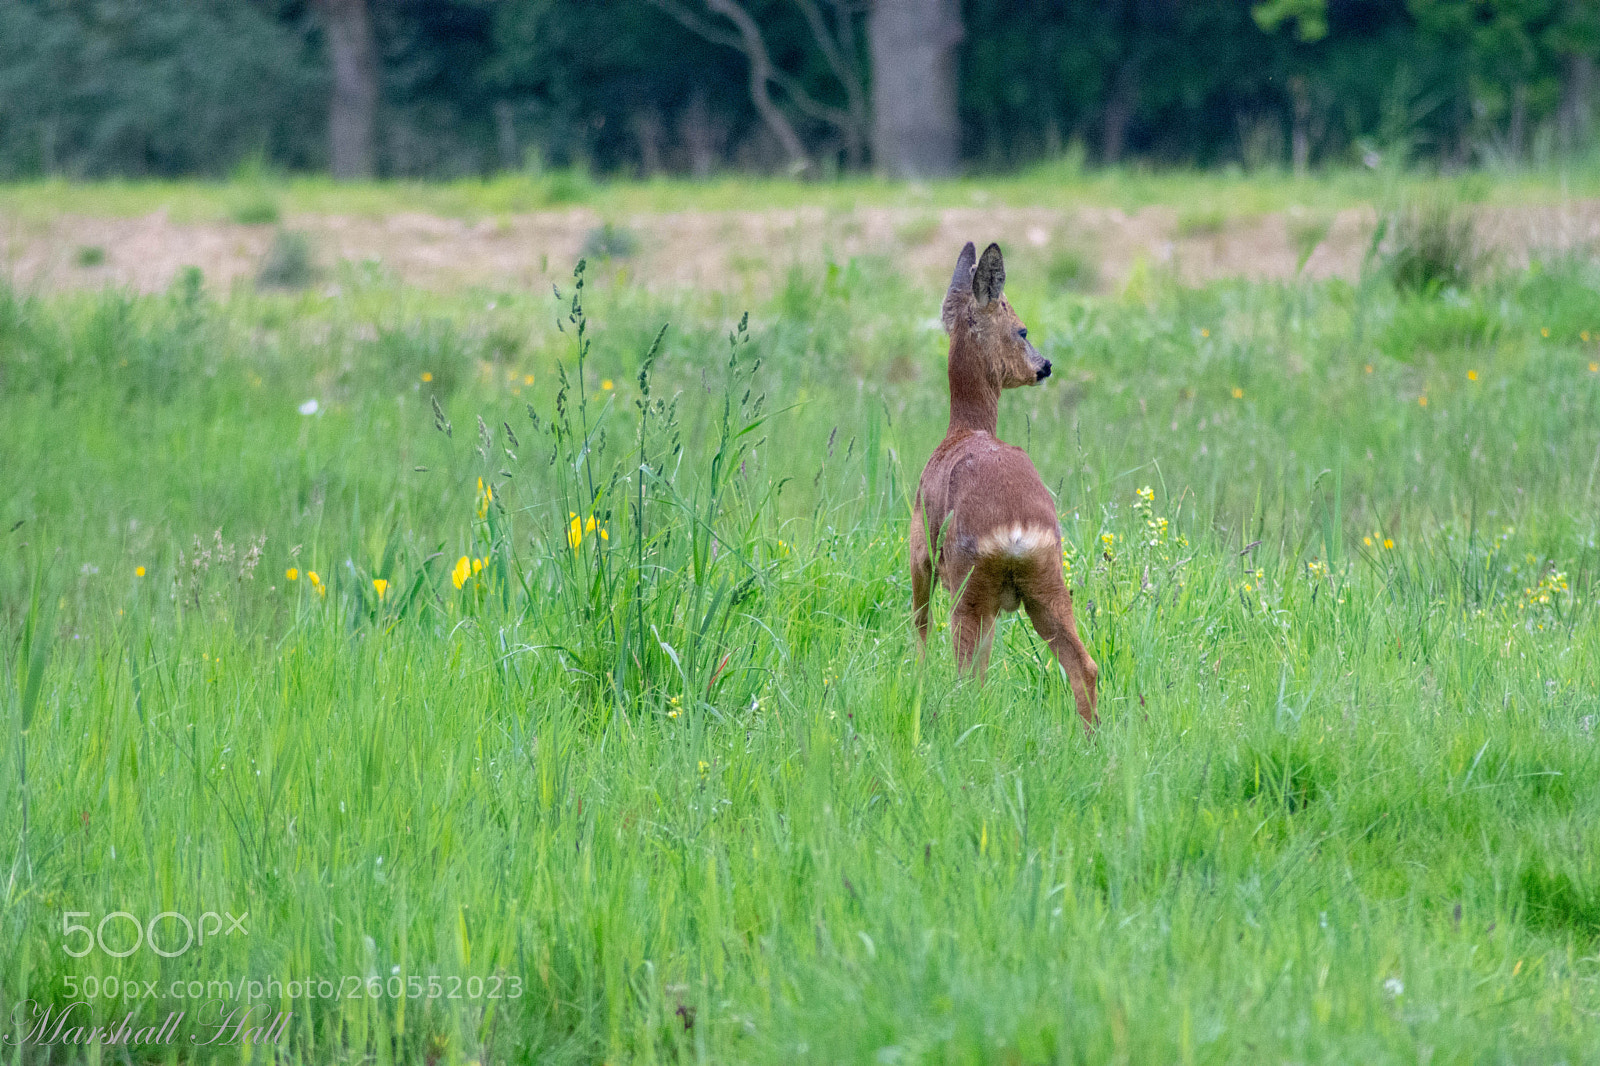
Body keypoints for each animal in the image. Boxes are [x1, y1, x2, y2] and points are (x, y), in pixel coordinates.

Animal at [909, 242, 1099, 728]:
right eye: (1022, 330)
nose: (1044, 365)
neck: (964, 429)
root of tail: (1014, 530)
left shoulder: (918, 548)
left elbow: (919, 630)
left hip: (969, 584)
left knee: (966, 674)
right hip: (1047, 580)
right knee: (1084, 665)